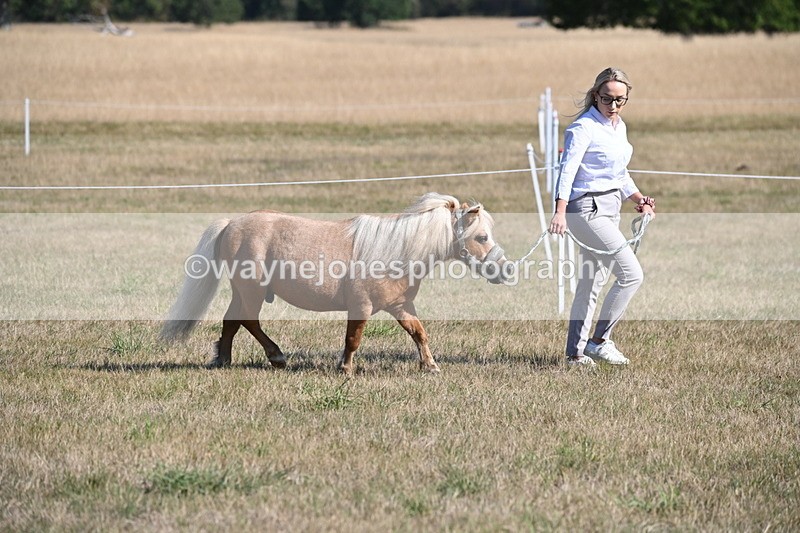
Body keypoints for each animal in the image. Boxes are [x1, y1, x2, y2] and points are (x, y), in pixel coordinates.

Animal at [160, 192, 510, 375]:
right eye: (481, 236)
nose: (505, 270)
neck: (395, 250)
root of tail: (231, 223)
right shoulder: (361, 306)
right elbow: (353, 339)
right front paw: (345, 368)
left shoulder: (401, 305)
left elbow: (419, 333)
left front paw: (431, 366)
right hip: (251, 290)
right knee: (247, 320)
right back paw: (275, 356)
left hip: (243, 292)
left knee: (232, 321)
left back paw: (224, 359)